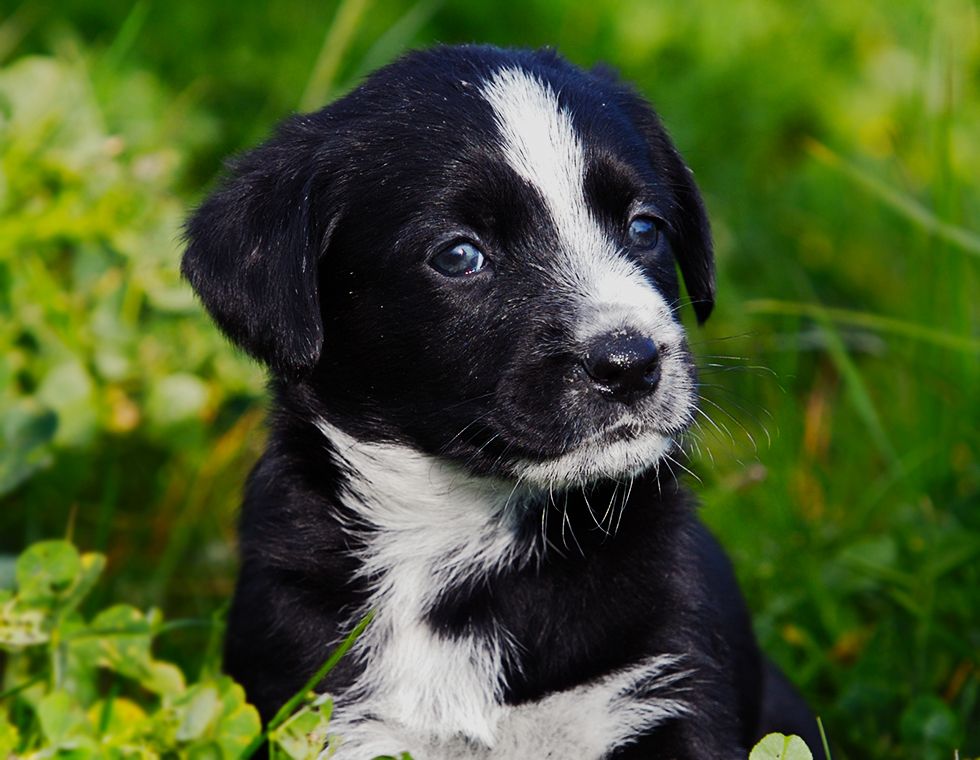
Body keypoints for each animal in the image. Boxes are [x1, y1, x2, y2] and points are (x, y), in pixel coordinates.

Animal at [182, 43, 820, 760]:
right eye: (460, 255)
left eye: (644, 227)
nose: (631, 364)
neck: (461, 542)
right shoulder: (324, 707)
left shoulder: (668, 682)